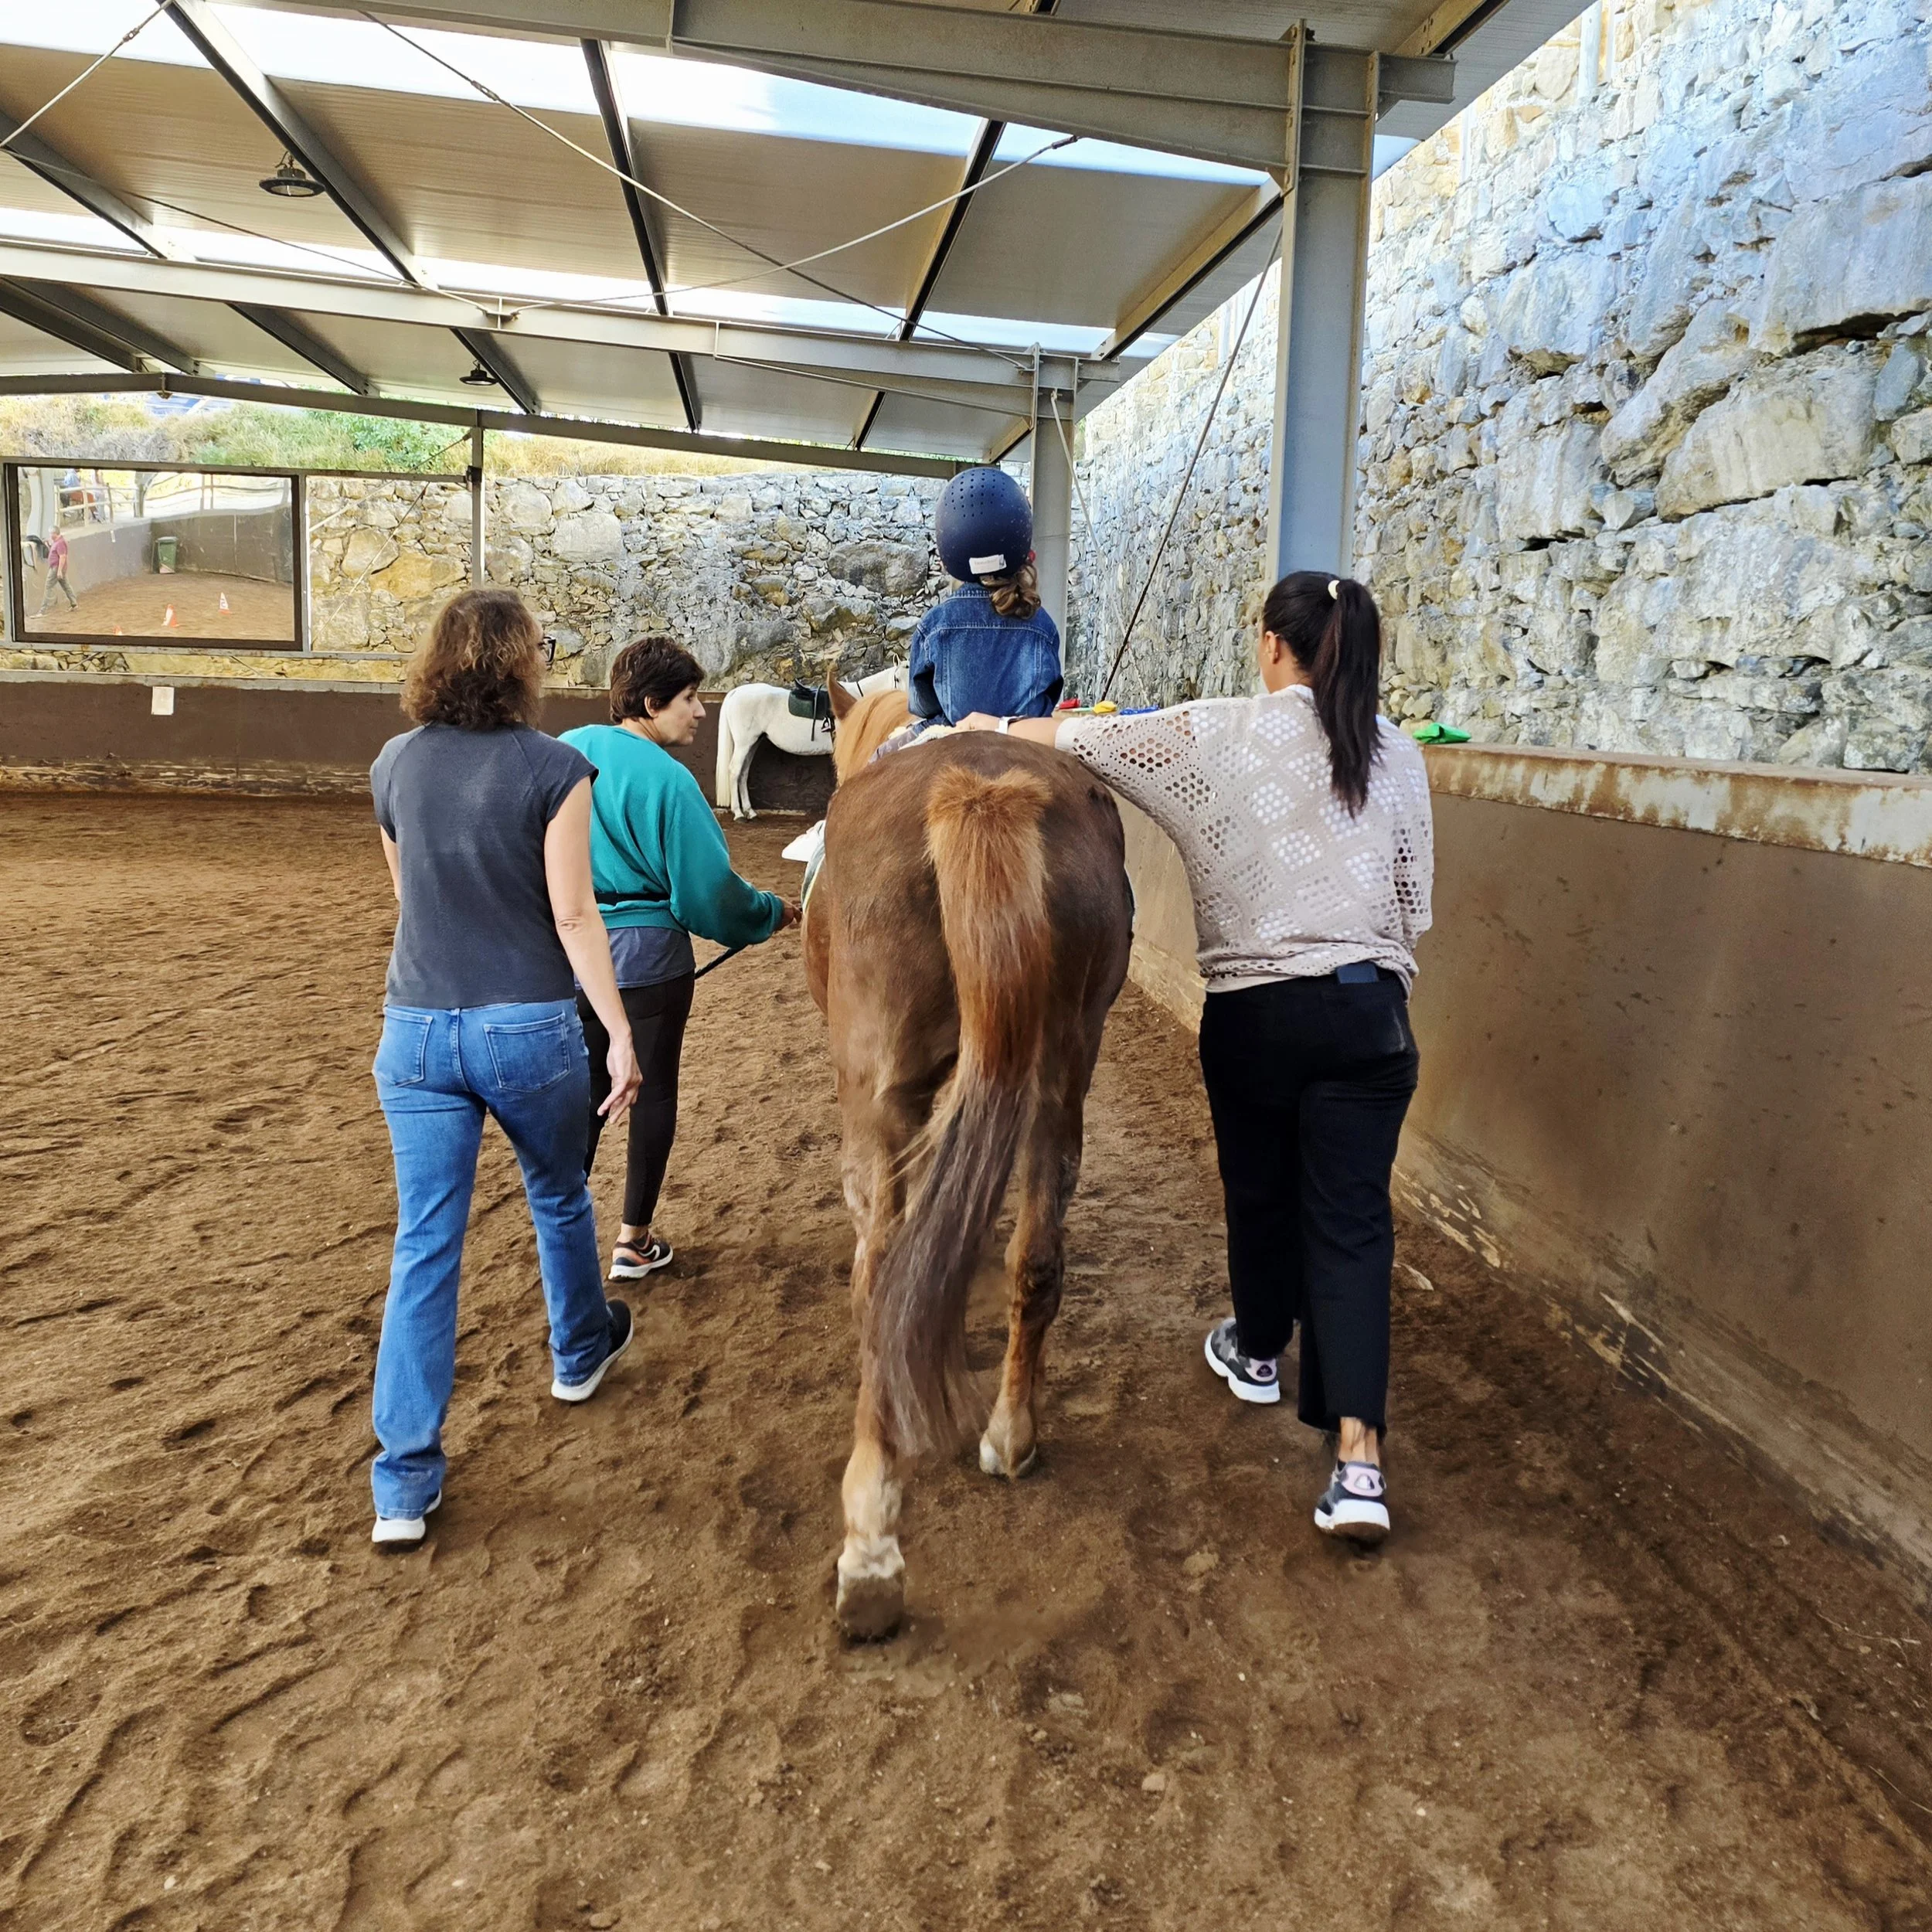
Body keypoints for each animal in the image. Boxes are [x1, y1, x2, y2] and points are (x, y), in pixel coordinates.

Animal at [714, 664, 906, 819]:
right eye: (897, 678)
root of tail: (735, 692)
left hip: (753, 743)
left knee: (743, 773)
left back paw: (750, 811)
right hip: (743, 744)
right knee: (735, 771)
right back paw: (738, 813)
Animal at [803, 682, 1135, 1639]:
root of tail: (979, 793)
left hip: (880, 1097)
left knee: (879, 1278)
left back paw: (871, 1551)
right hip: (1060, 1073)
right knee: (1038, 1260)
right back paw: (1011, 1434)